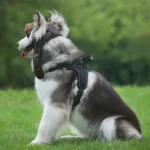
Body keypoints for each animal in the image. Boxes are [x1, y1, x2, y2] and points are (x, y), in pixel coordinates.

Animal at [17, 10, 142, 145]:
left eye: (27, 33)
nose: (17, 44)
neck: (61, 64)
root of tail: (140, 134)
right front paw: (49, 141)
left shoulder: (55, 105)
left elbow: (43, 126)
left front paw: (36, 143)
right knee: (90, 138)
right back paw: (70, 138)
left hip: (111, 122)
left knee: (111, 139)